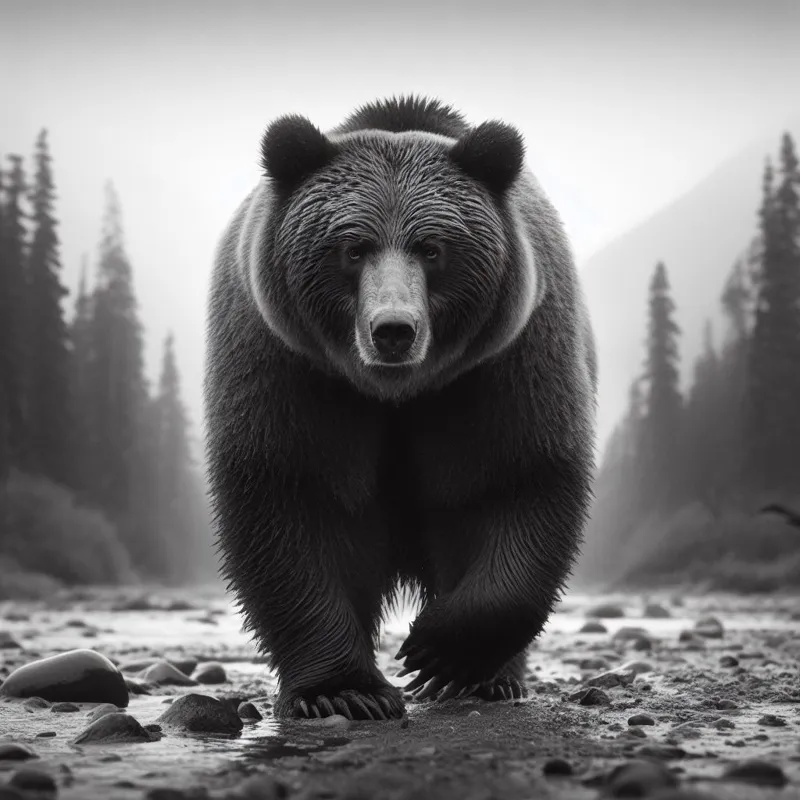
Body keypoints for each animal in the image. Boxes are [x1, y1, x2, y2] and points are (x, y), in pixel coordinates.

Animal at [204, 95, 597, 721]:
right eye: (353, 247)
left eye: (432, 248)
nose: (393, 330)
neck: (397, 393)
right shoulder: (287, 364)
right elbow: (289, 495)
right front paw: (345, 690)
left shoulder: (503, 363)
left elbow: (518, 476)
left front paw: (439, 654)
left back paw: (494, 680)